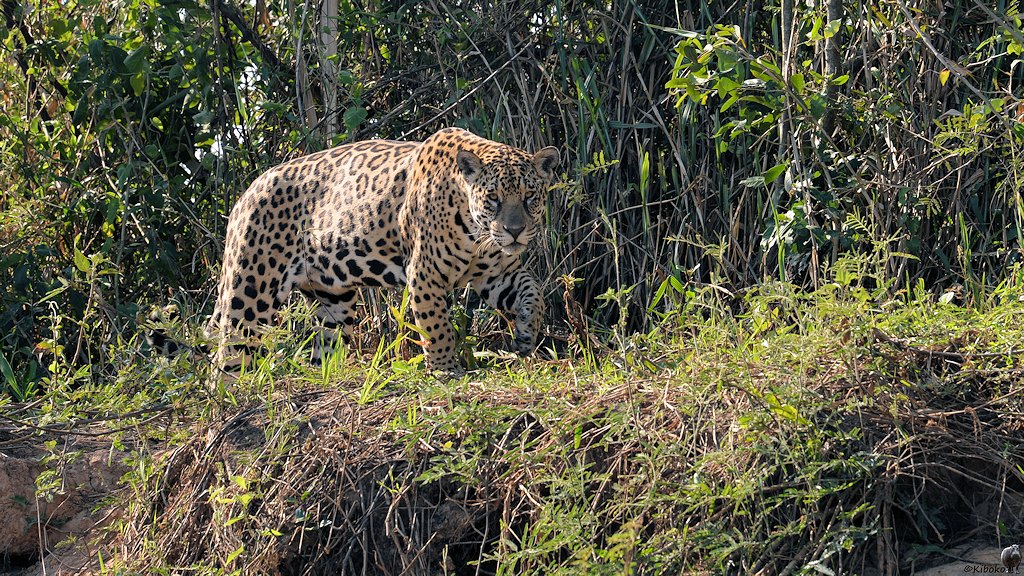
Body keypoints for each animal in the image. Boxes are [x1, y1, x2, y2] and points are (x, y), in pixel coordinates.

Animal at [196, 127, 559, 376]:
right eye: (493, 198)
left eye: (529, 196)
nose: (514, 231)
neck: (475, 230)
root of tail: (246, 194)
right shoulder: (425, 275)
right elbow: (437, 327)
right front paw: (445, 369)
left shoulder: (497, 273)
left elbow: (534, 292)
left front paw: (526, 334)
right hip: (251, 292)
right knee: (227, 355)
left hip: (332, 299)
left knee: (324, 342)